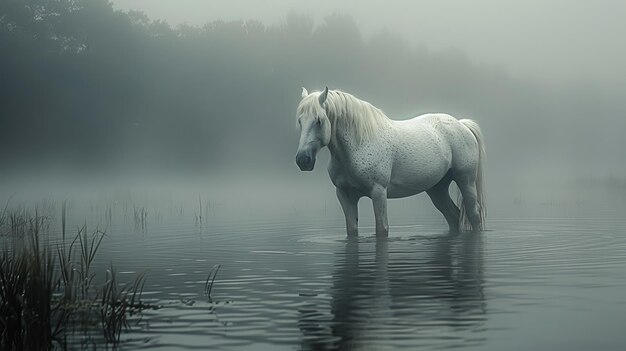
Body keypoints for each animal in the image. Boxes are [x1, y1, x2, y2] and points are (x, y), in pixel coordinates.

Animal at [294, 87, 486, 236]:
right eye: (300, 121)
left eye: (319, 120)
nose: (303, 160)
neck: (359, 144)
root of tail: (461, 124)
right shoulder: (344, 195)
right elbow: (352, 230)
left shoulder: (378, 192)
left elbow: (382, 229)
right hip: (437, 189)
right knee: (453, 216)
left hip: (465, 181)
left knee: (474, 215)